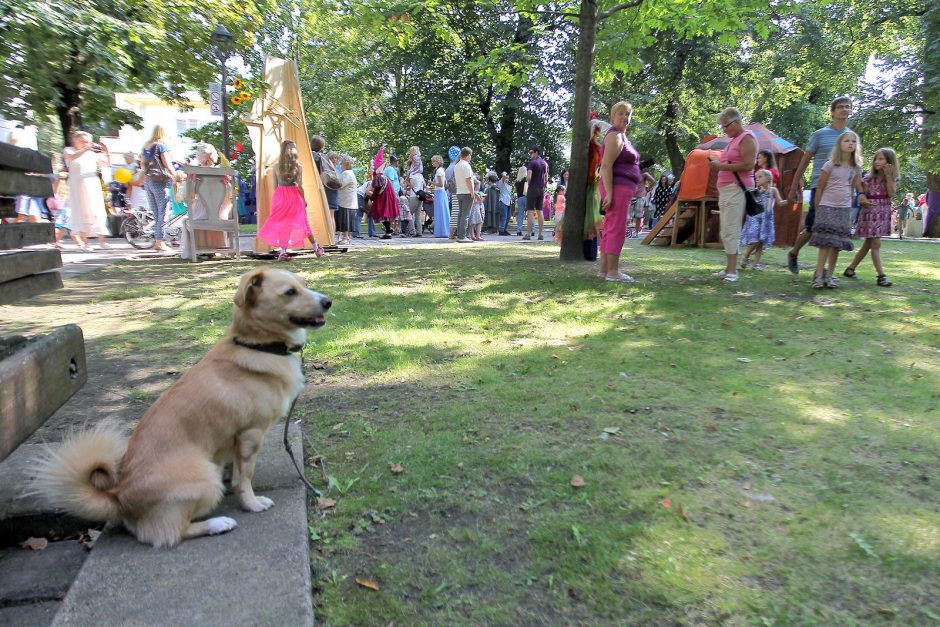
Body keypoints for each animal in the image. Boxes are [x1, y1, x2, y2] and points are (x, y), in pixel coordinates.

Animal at [33, 268, 332, 548]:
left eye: (304, 285)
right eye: (290, 292)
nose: (328, 302)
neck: (258, 345)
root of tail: (118, 497)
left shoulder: (236, 442)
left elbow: (233, 468)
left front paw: (232, 479)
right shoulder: (251, 434)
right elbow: (244, 477)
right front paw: (251, 503)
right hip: (205, 478)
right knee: (172, 533)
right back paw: (217, 523)